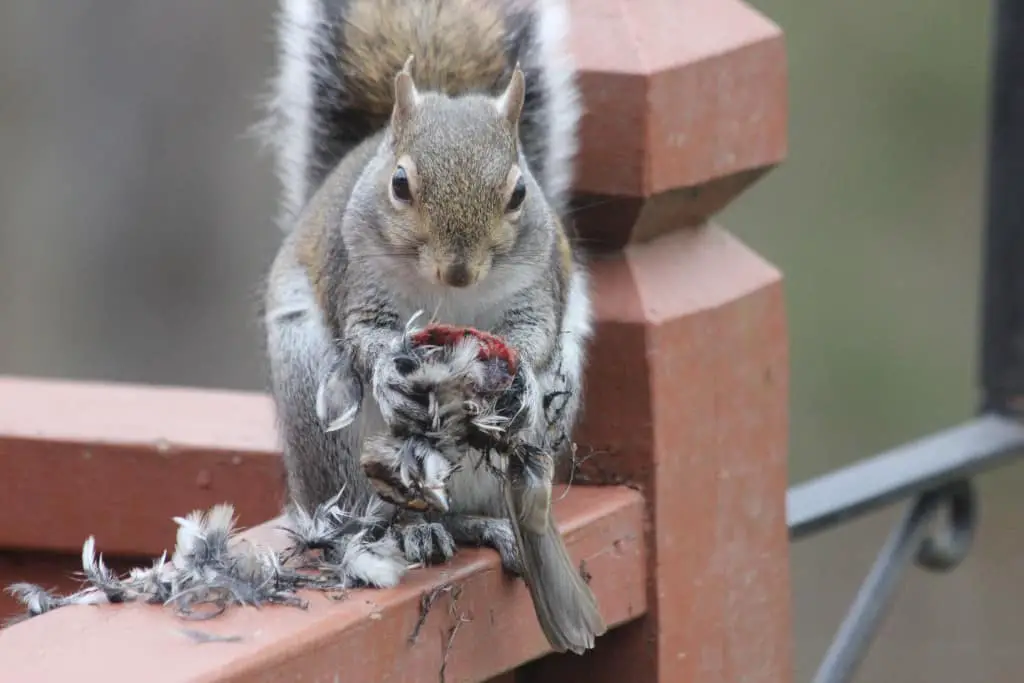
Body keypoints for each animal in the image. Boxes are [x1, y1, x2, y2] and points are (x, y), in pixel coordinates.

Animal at [260, 0, 602, 655]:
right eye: (399, 184)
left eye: (519, 192)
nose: (459, 269)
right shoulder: (356, 281)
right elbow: (364, 334)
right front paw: (390, 373)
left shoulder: (538, 287)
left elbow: (535, 334)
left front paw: (521, 381)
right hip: (326, 430)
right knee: (367, 509)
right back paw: (409, 531)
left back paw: (484, 526)